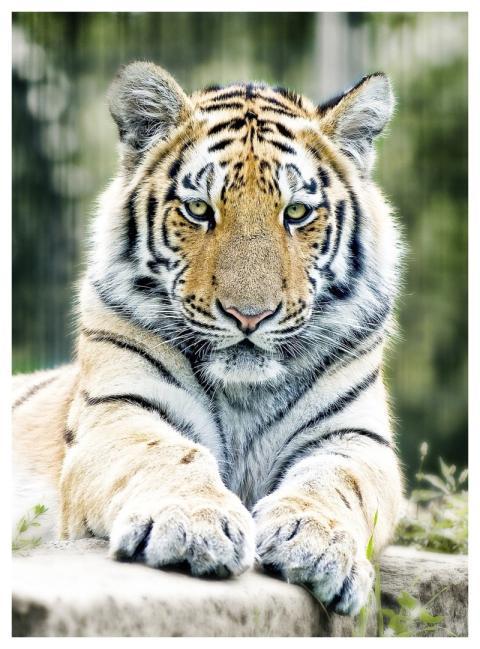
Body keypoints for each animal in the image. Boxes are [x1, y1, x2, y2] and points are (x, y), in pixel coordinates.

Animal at [13, 61, 404, 617]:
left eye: (297, 213)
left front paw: (316, 541)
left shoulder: (356, 438)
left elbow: (336, 481)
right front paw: (191, 526)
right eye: (199, 209)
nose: (249, 316)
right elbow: (166, 453)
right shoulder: (119, 411)